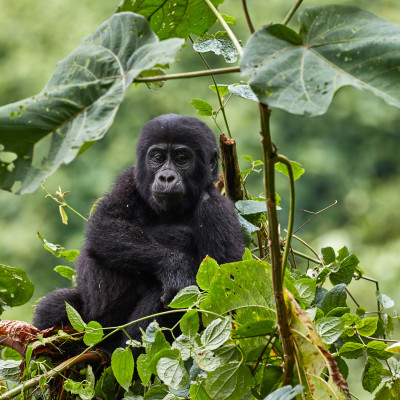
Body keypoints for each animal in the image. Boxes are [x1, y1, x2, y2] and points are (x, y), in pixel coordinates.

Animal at [34, 113, 245, 354]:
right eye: (158, 157)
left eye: (182, 158)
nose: (166, 177)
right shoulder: (130, 179)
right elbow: (105, 224)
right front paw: (175, 267)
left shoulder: (218, 209)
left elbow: (221, 293)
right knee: (54, 305)